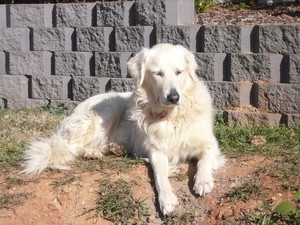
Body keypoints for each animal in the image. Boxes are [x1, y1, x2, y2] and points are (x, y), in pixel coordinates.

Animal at [22, 43, 225, 214]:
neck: (170, 116)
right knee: (71, 146)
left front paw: (203, 181)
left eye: (179, 72)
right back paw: (93, 152)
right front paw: (167, 200)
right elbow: (160, 176)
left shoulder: (209, 144)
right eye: (158, 73)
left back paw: (112, 149)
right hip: (107, 111)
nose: (174, 97)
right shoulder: (155, 151)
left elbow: (204, 160)